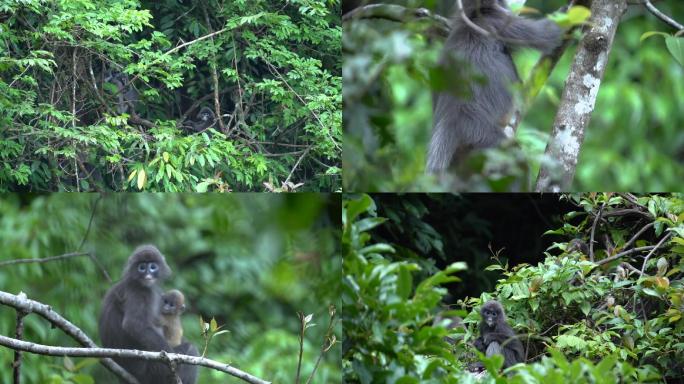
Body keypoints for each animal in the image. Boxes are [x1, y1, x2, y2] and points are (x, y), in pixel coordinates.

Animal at [100, 246, 199, 384]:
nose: (148, 275)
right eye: (142, 267)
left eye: (153, 267)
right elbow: (134, 325)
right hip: (152, 371)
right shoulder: (138, 291)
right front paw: (172, 361)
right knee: (191, 348)